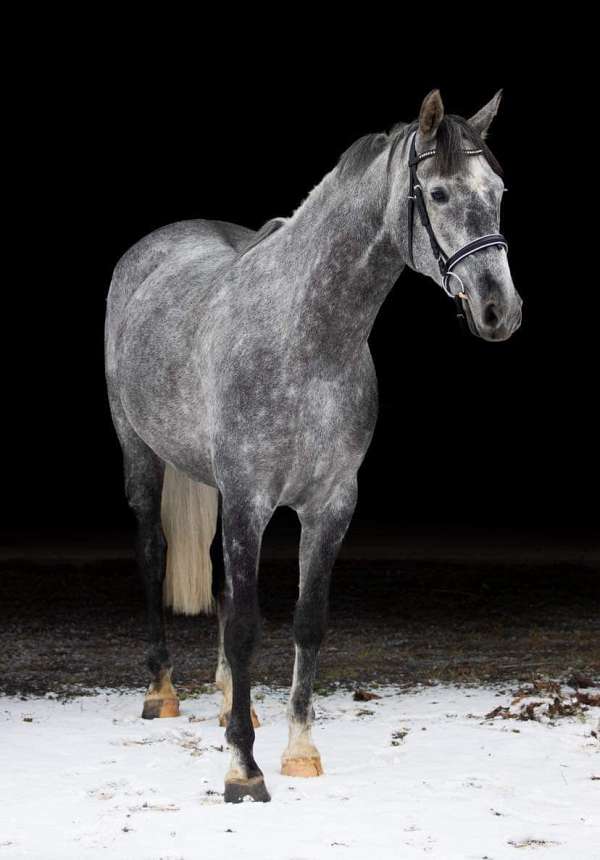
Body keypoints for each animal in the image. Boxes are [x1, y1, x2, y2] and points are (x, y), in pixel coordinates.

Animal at [105, 89, 522, 803]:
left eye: (496, 191)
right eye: (438, 193)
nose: (501, 310)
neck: (305, 336)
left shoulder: (329, 505)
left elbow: (306, 619)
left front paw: (298, 749)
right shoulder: (250, 499)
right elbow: (248, 625)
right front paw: (243, 771)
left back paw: (231, 703)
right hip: (142, 454)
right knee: (154, 553)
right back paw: (162, 691)